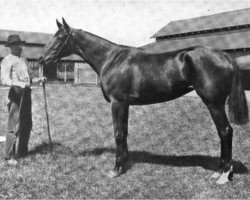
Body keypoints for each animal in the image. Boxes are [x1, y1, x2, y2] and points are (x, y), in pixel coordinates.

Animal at [38, 18, 248, 184]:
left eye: (59, 37)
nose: (41, 58)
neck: (111, 59)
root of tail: (225, 56)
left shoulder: (117, 103)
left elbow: (118, 133)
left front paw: (115, 169)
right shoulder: (125, 104)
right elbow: (124, 132)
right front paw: (125, 164)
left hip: (214, 104)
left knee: (225, 131)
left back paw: (224, 175)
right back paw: (220, 171)